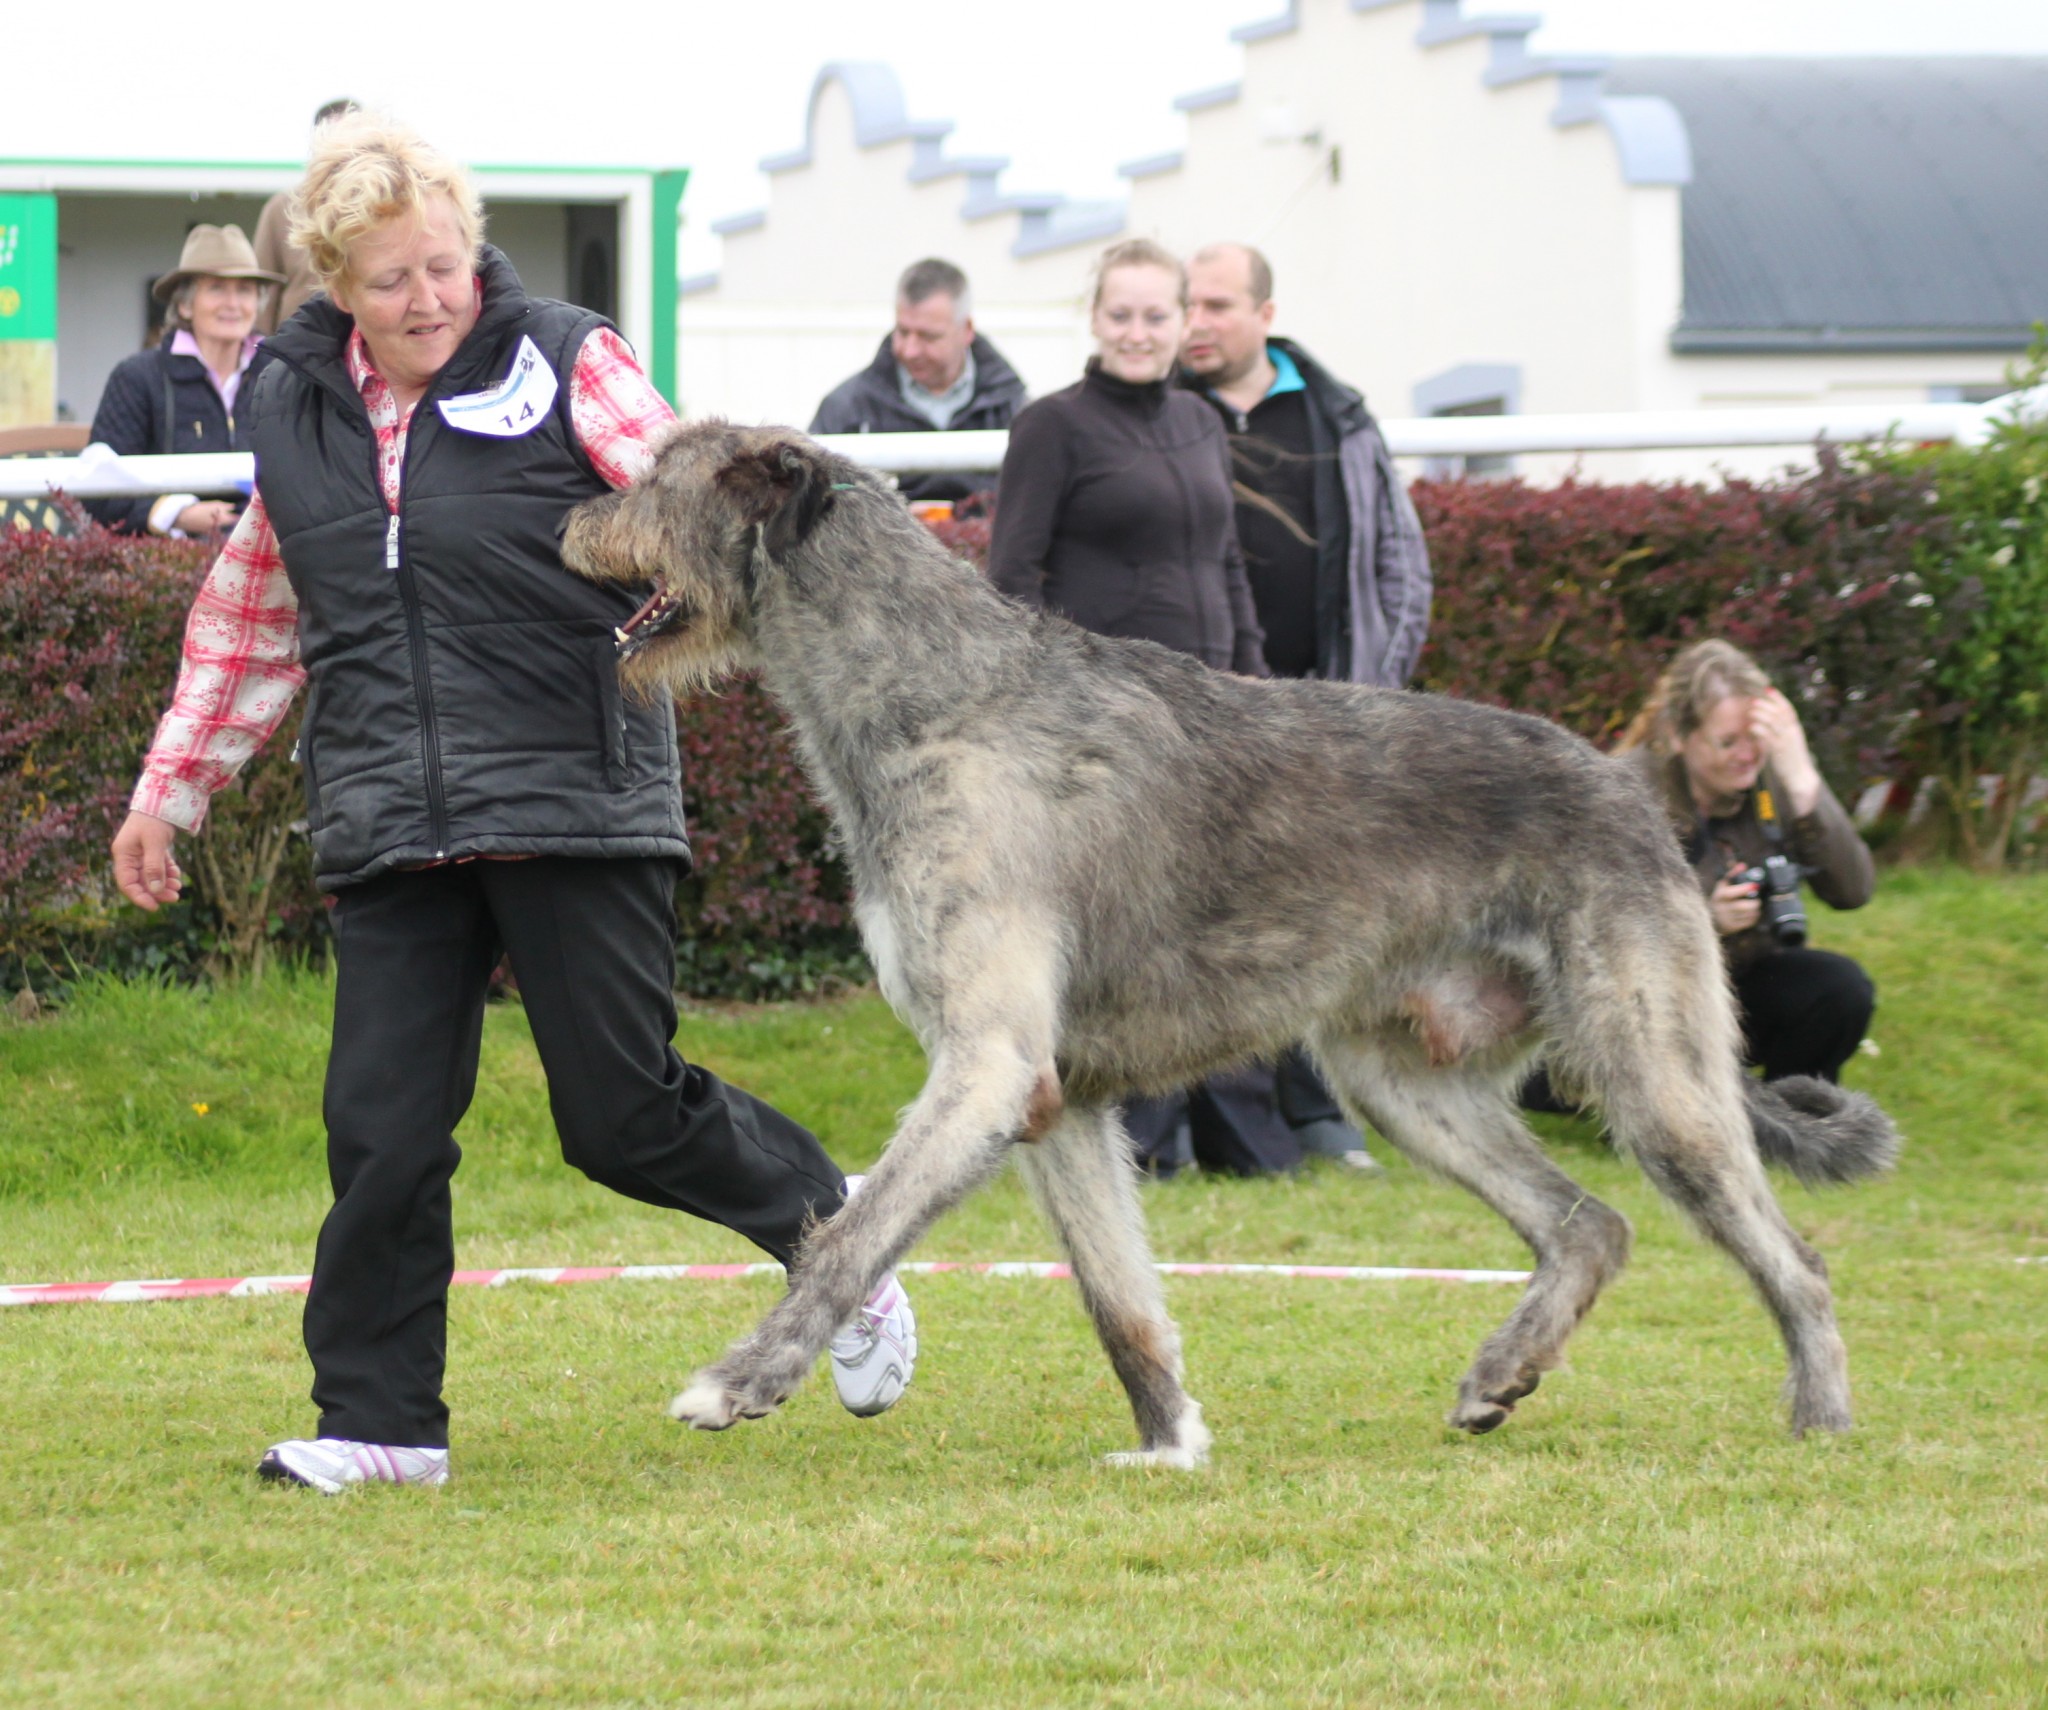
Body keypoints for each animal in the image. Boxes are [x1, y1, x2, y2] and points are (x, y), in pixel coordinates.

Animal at [561, 428, 1900, 1474]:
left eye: (656, 474)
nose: (571, 516)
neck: (936, 695)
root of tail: (1631, 789)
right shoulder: (1057, 1097)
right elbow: (1118, 1303)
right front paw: (1168, 1445)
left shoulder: (987, 1064)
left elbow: (847, 1233)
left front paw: (740, 1381)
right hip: (1399, 1079)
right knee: (1588, 1224)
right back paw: (1500, 1373)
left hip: (1650, 1064)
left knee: (1792, 1258)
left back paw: (1822, 1419)